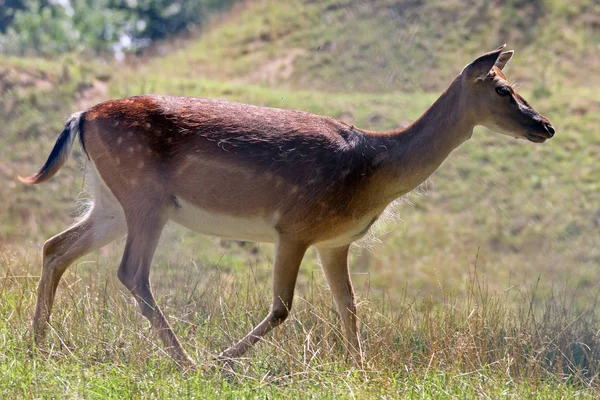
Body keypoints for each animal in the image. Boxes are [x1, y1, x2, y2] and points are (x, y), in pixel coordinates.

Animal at [18, 44, 552, 368]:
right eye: (503, 88)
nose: (545, 126)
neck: (375, 169)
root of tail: (80, 115)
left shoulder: (335, 242)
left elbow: (349, 308)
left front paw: (361, 370)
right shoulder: (295, 226)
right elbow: (282, 307)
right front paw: (223, 362)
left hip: (111, 201)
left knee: (55, 247)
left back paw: (38, 345)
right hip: (145, 198)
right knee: (130, 272)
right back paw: (187, 361)